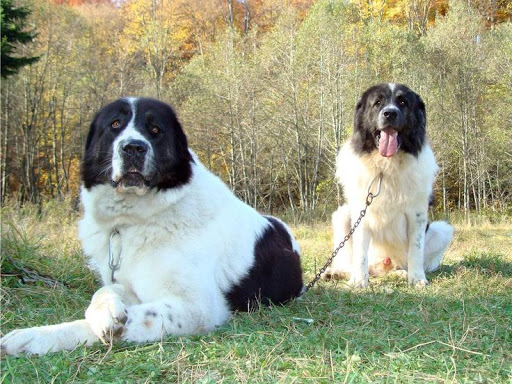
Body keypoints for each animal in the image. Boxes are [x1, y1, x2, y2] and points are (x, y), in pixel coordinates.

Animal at [0, 97, 302, 356]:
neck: (136, 220)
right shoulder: (126, 281)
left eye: (155, 130)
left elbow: (129, 319)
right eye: (115, 125)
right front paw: (104, 311)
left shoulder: (196, 307)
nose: (133, 147)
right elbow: (106, 290)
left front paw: (38, 336)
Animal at [324, 84, 452, 288]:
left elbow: (416, 249)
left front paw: (417, 279)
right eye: (377, 103)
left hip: (443, 230)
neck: (385, 167)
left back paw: (402, 273)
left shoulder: (417, 214)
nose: (390, 113)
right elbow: (360, 253)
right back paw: (337, 273)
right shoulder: (360, 211)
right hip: (342, 215)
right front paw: (359, 281)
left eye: (403, 102)